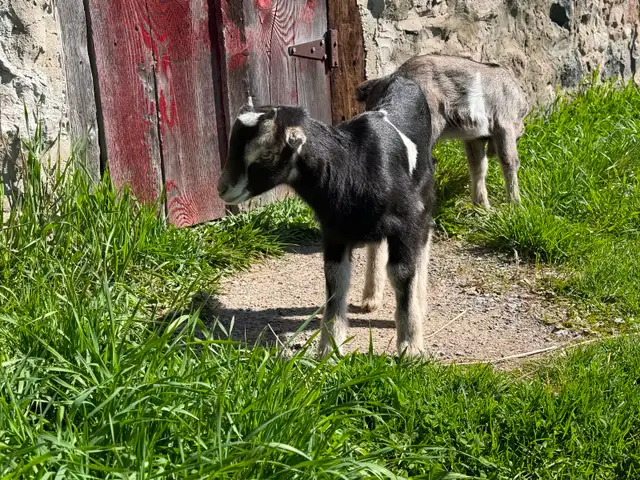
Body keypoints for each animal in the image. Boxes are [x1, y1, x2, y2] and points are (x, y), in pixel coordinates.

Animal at [217, 75, 435, 357]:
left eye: (266, 154)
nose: (222, 188)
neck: (354, 166)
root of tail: (397, 78)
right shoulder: (334, 231)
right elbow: (335, 280)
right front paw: (329, 349)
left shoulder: (406, 221)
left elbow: (402, 273)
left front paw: (411, 348)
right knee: (376, 245)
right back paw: (370, 298)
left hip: (425, 194)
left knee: (423, 244)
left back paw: (418, 303)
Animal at [356, 54, 529, 209]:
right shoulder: (504, 122)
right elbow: (509, 161)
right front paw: (515, 205)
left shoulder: (473, 135)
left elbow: (478, 166)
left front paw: (482, 206)